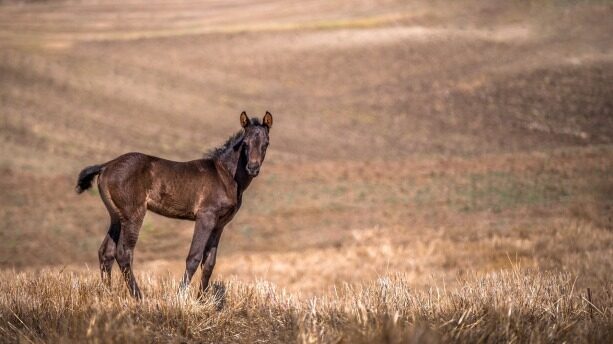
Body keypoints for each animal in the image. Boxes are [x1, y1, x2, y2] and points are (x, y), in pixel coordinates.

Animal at [75, 112, 272, 298]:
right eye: (245, 143)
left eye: (266, 143)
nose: (252, 168)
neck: (225, 175)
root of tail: (106, 166)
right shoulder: (206, 217)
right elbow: (194, 257)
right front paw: (181, 297)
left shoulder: (219, 224)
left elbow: (209, 263)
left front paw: (201, 300)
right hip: (133, 215)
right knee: (123, 253)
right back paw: (139, 297)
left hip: (116, 216)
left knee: (106, 252)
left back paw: (106, 293)